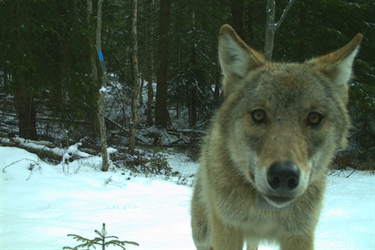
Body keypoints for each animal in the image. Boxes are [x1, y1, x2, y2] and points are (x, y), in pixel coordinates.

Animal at [192, 23, 362, 250]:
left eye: (314, 118)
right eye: (258, 115)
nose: (284, 175)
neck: (266, 213)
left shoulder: (300, 234)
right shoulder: (227, 229)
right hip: (202, 234)